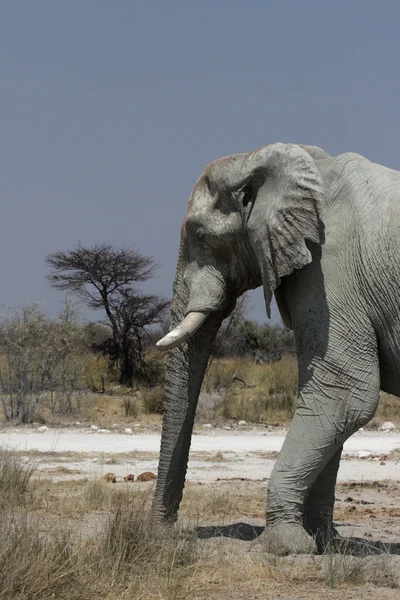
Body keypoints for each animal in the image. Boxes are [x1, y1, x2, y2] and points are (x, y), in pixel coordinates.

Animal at [153, 143, 400, 556]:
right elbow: (329, 405)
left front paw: (283, 546)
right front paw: (323, 543)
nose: (161, 531)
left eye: (201, 236)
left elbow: (345, 394)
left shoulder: (331, 268)